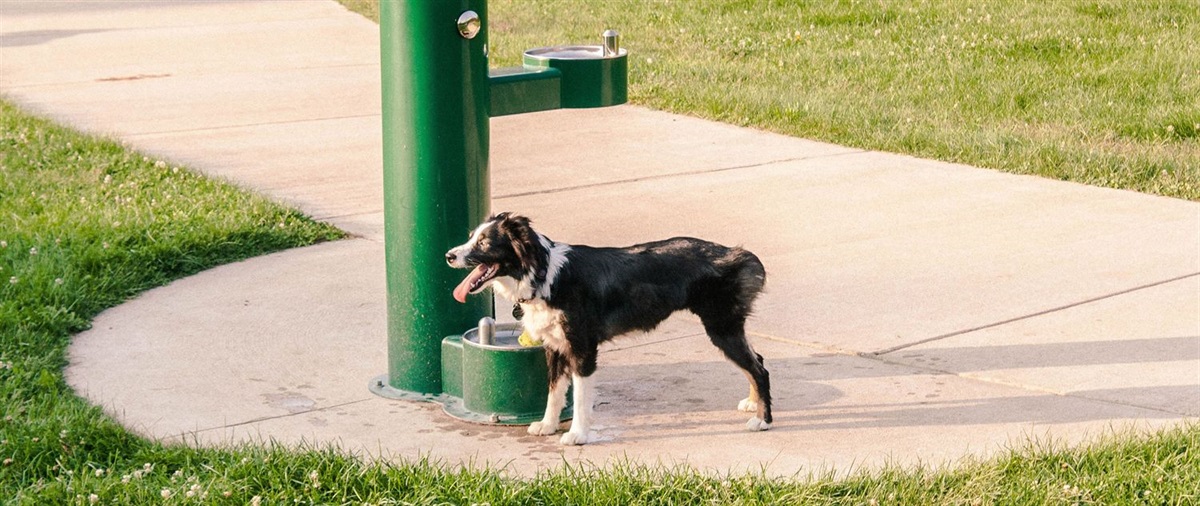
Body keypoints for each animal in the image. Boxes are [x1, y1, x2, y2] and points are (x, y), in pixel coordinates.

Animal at [446, 211, 772, 443]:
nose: (449, 255)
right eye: (471, 237)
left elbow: (579, 397)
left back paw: (763, 420)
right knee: (757, 361)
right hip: (727, 328)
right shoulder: (554, 346)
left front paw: (577, 435)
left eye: (484, 243)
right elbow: (554, 392)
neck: (544, 275)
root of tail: (737, 253)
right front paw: (548, 426)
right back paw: (752, 403)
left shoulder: (583, 348)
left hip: (721, 328)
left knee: (760, 370)